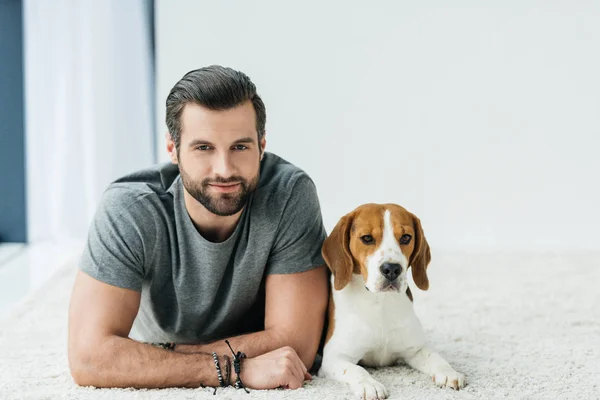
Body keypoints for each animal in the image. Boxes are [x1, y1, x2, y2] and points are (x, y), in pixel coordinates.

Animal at [318, 205, 464, 398]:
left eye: (406, 237)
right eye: (367, 238)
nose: (392, 269)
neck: (380, 302)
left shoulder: (416, 349)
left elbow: (436, 358)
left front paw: (449, 372)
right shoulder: (334, 358)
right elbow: (356, 370)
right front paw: (370, 385)